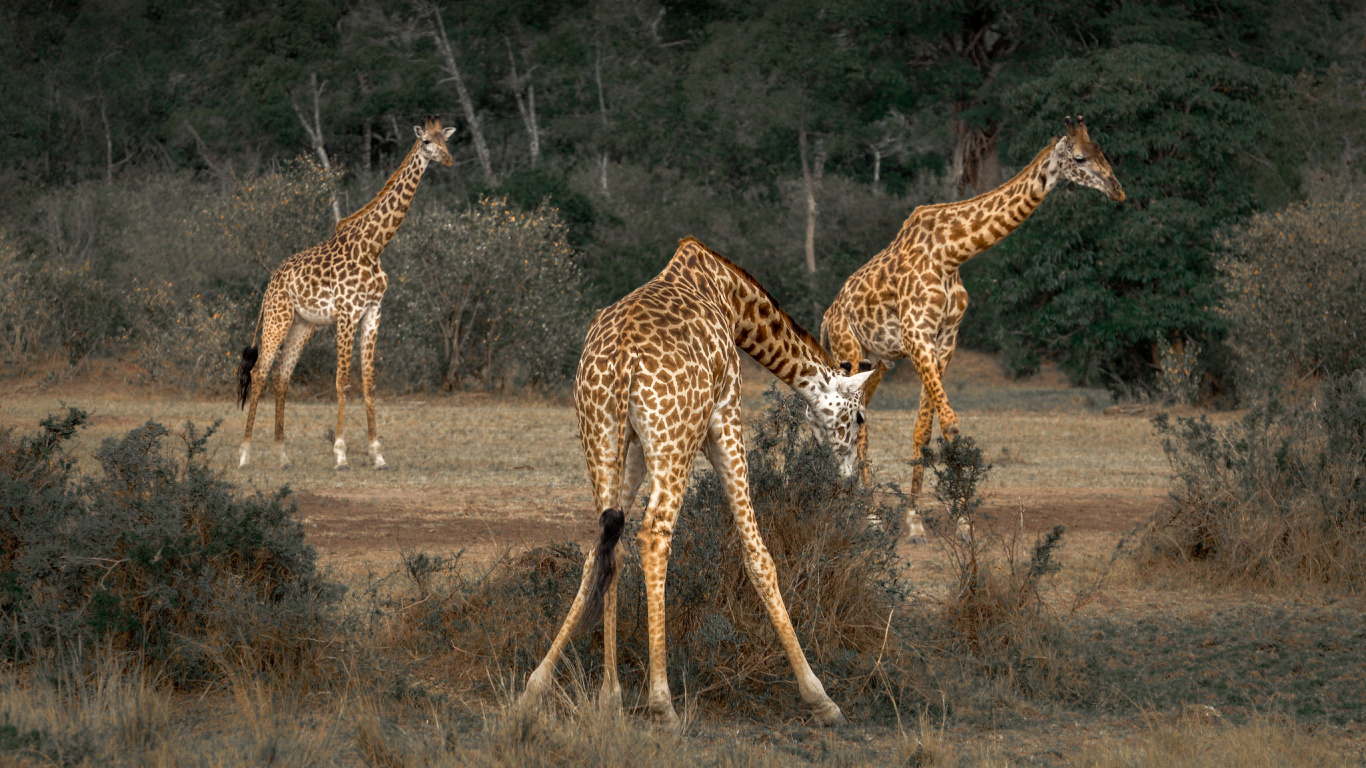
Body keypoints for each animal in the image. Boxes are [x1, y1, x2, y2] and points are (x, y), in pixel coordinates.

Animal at [237, 112, 456, 467]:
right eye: (426, 141)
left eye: (446, 140)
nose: (448, 159)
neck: (374, 247)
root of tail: (271, 281)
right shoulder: (346, 313)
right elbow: (343, 381)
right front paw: (340, 454)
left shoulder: (373, 313)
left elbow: (369, 382)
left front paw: (377, 454)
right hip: (277, 317)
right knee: (259, 373)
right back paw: (244, 455)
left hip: (303, 325)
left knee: (282, 376)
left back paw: (283, 455)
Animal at [516, 236, 879, 727]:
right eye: (858, 419)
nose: (848, 479)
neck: (732, 299)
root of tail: (622, 358)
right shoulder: (726, 414)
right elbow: (759, 557)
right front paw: (820, 698)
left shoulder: (634, 444)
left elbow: (603, 552)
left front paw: (579, 692)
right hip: (676, 437)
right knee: (653, 536)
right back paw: (663, 704)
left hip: (600, 433)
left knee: (606, 540)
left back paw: (575, 694)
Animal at [819, 116, 1120, 535]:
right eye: (1079, 157)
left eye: (1102, 152)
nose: (1117, 190)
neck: (952, 253)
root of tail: (827, 316)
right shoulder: (917, 336)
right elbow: (951, 424)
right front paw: (953, 520)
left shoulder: (944, 340)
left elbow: (925, 428)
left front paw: (921, 518)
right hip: (846, 349)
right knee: (851, 422)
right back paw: (866, 514)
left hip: (875, 363)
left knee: (861, 419)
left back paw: (859, 506)